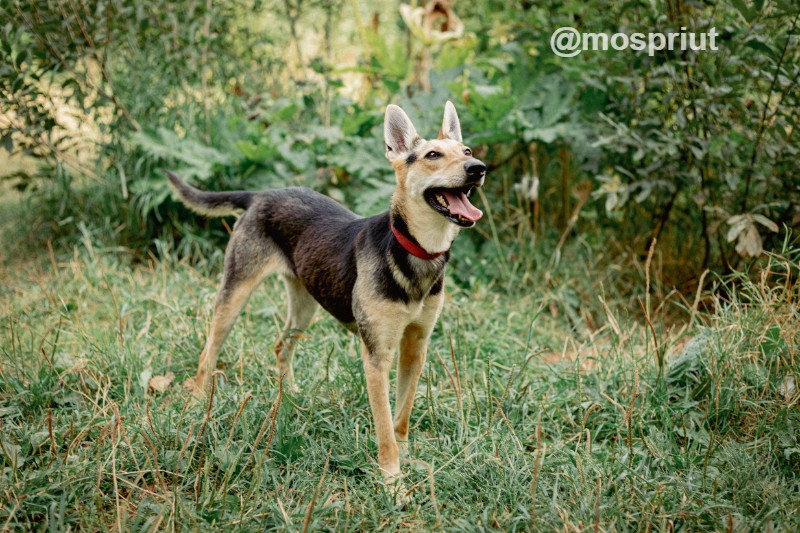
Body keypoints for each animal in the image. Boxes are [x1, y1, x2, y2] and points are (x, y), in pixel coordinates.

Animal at [167, 101, 488, 490]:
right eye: (432, 155)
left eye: (467, 151)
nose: (478, 168)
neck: (414, 251)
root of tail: (262, 194)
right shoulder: (377, 357)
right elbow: (384, 427)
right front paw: (392, 481)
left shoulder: (416, 347)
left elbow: (402, 416)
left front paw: (407, 456)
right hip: (235, 293)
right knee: (210, 348)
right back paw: (199, 398)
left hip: (305, 303)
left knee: (281, 345)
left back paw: (289, 393)